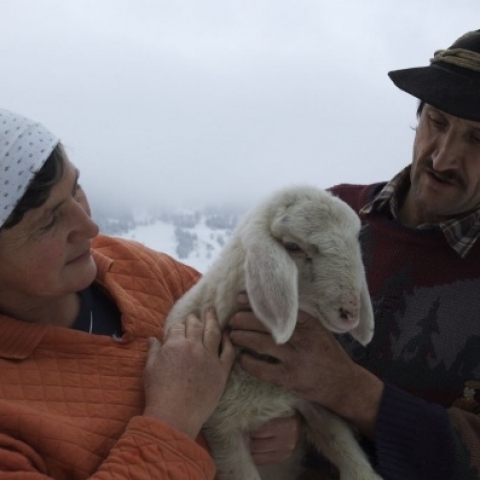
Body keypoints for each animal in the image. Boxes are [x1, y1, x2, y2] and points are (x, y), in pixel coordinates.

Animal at [165, 185, 382, 480]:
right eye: (293, 247)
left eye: (356, 242)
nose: (351, 312)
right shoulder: (223, 428)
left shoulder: (315, 401)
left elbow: (349, 455)